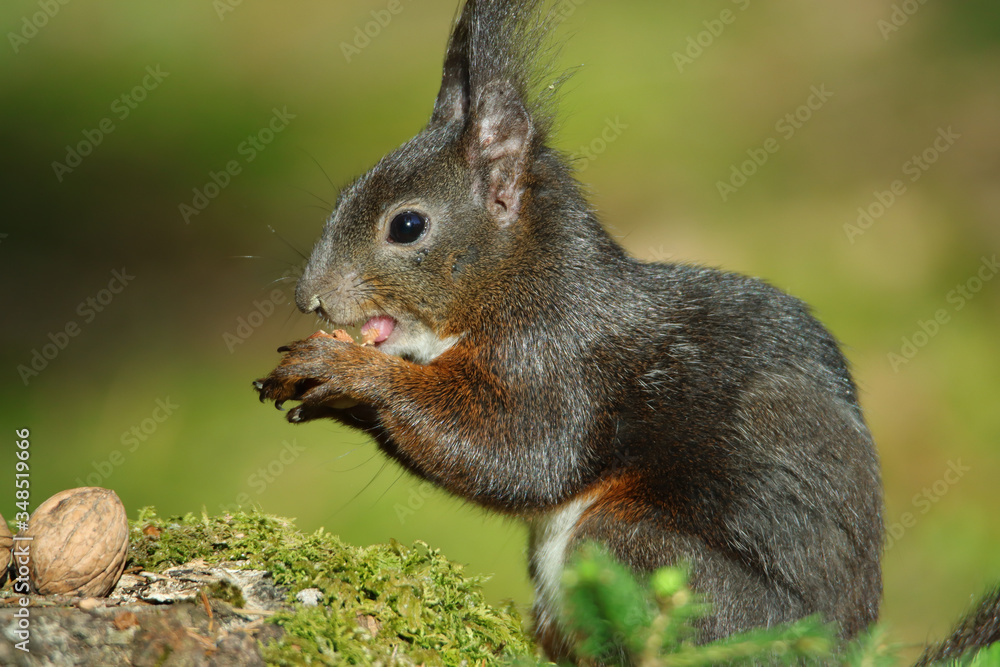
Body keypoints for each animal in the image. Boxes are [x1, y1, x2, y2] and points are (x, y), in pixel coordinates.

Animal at [253, 0, 890, 661]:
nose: (309, 297)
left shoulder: (561, 359)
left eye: (407, 226)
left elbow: (524, 454)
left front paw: (349, 372)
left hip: (655, 562)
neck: (524, 283)